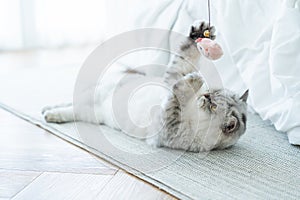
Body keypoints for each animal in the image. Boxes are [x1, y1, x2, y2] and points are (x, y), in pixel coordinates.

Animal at [42, 21, 248, 152]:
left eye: (212, 105)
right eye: (212, 92)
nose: (204, 95)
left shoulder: (168, 125)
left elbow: (176, 96)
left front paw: (195, 79)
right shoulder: (173, 78)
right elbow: (185, 60)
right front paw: (201, 31)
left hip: (87, 112)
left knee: (69, 110)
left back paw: (49, 115)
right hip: (92, 94)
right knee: (68, 102)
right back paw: (46, 108)